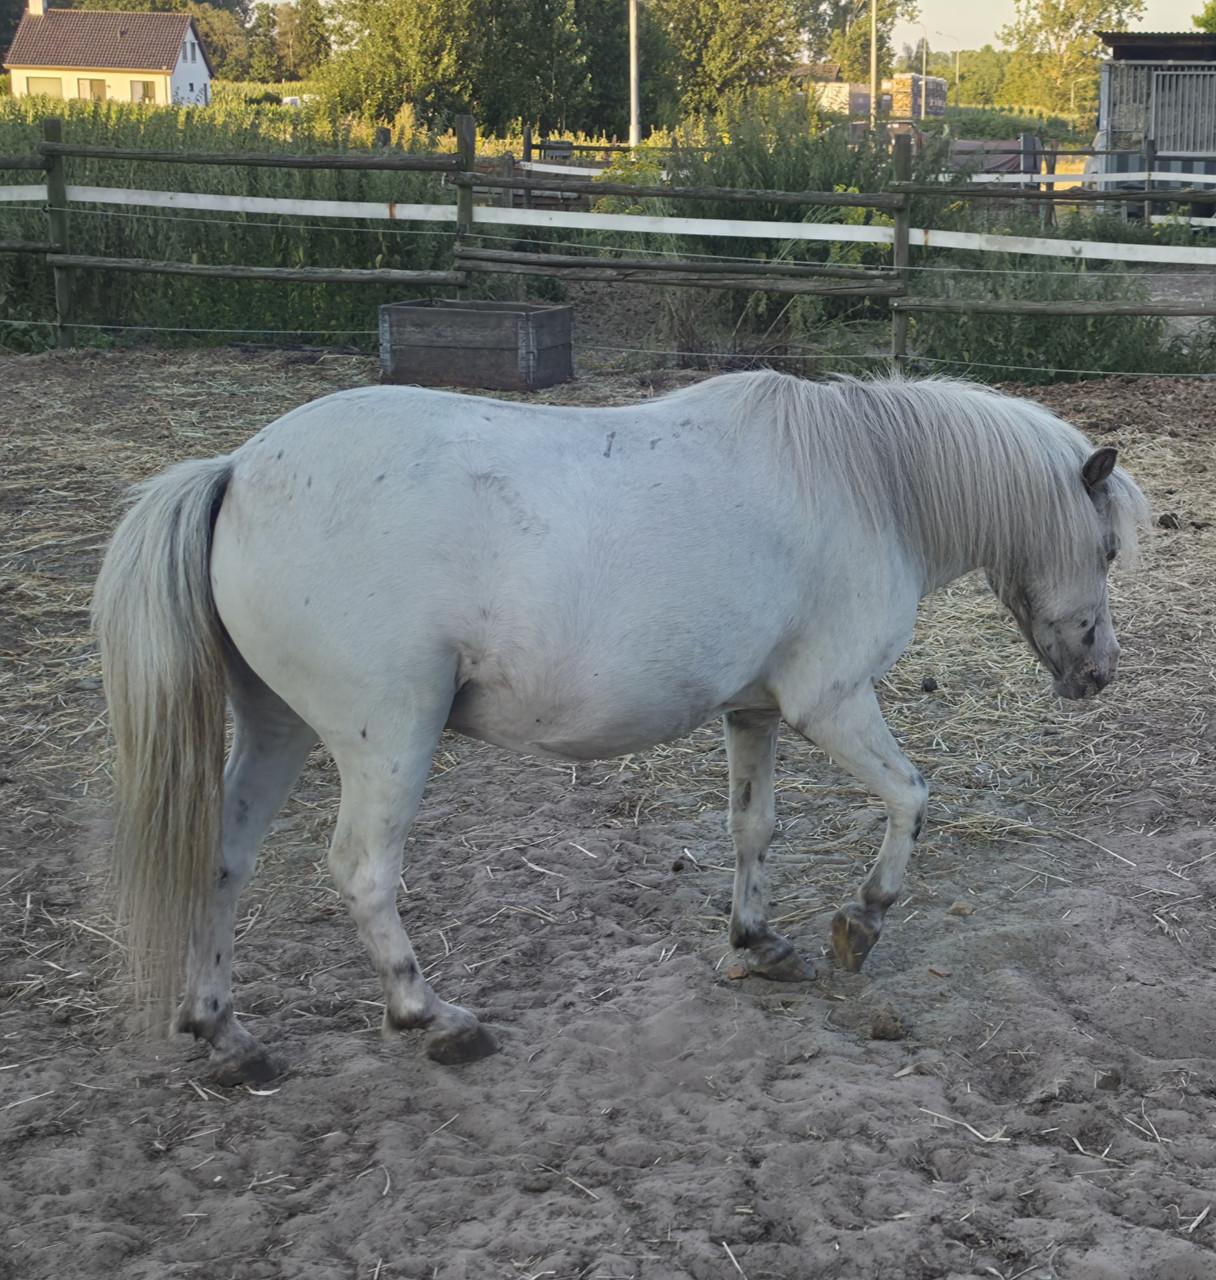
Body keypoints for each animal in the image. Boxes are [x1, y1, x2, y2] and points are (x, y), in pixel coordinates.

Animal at [91, 370, 1149, 1084]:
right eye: (1103, 546)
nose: (1098, 672)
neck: (864, 477)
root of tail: (235, 470)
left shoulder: (755, 712)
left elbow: (753, 828)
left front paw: (759, 941)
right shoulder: (833, 704)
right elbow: (911, 800)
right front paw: (862, 920)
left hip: (276, 729)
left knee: (222, 860)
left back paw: (225, 1032)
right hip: (385, 739)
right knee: (363, 872)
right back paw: (431, 1016)